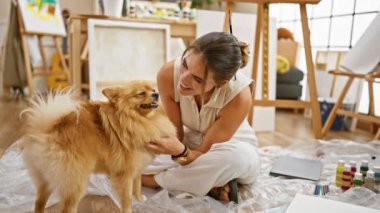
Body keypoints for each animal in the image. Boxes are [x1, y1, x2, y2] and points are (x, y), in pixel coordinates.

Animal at [19, 80, 177, 213]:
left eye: (153, 89)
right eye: (141, 93)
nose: (156, 94)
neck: (135, 119)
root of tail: (46, 129)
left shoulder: (137, 167)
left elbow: (137, 185)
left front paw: (140, 199)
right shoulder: (124, 174)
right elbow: (126, 199)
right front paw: (129, 209)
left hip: (45, 177)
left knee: (39, 201)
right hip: (76, 180)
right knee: (66, 208)